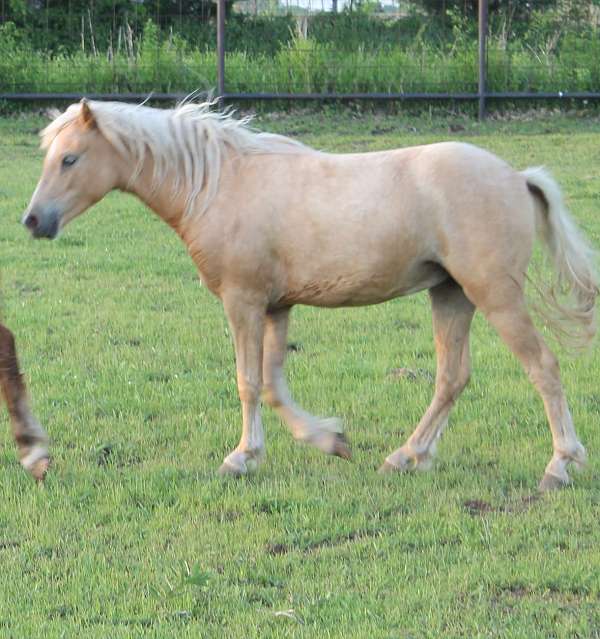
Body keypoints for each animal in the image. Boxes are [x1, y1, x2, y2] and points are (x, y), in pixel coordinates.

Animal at [21, 100, 596, 490]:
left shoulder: (244, 302)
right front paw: (330, 440)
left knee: (543, 368)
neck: (217, 184)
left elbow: (249, 382)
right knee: (451, 378)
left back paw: (560, 465)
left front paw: (241, 457)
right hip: (452, 295)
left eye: (70, 159)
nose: (33, 221)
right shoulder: (277, 307)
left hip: (494, 295)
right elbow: (274, 385)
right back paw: (407, 456)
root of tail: (517, 177)